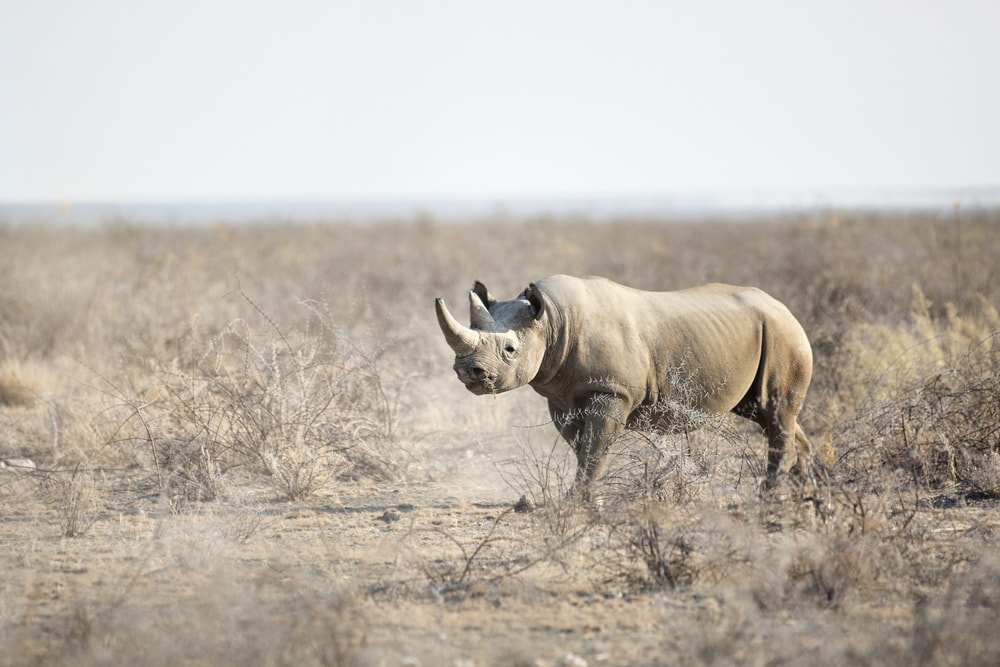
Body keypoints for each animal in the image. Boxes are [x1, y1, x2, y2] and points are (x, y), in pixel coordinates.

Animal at [435, 274, 814, 496]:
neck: (553, 320)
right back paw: (804, 491)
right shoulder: (562, 397)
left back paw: (769, 499)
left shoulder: (610, 391)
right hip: (766, 331)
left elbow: (595, 449)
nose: (469, 372)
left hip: (783, 334)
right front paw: (585, 499)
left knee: (776, 411)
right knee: (770, 415)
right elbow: (583, 449)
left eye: (510, 349)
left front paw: (580, 504)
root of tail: (785, 308)